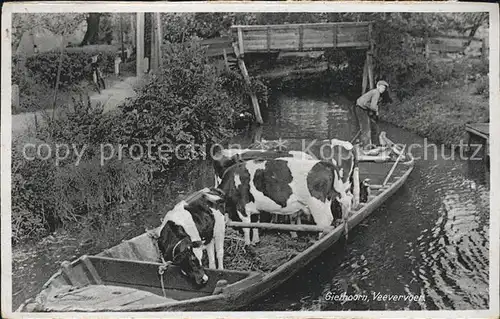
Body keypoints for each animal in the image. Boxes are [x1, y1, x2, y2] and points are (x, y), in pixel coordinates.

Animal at [219, 158, 356, 248]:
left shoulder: (242, 206)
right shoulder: (254, 209)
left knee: (324, 221)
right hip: (333, 195)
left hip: (317, 202)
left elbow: (246, 226)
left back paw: (319, 239)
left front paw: (247, 244)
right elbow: (255, 224)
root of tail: (323, 163)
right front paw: (255, 241)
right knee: (345, 204)